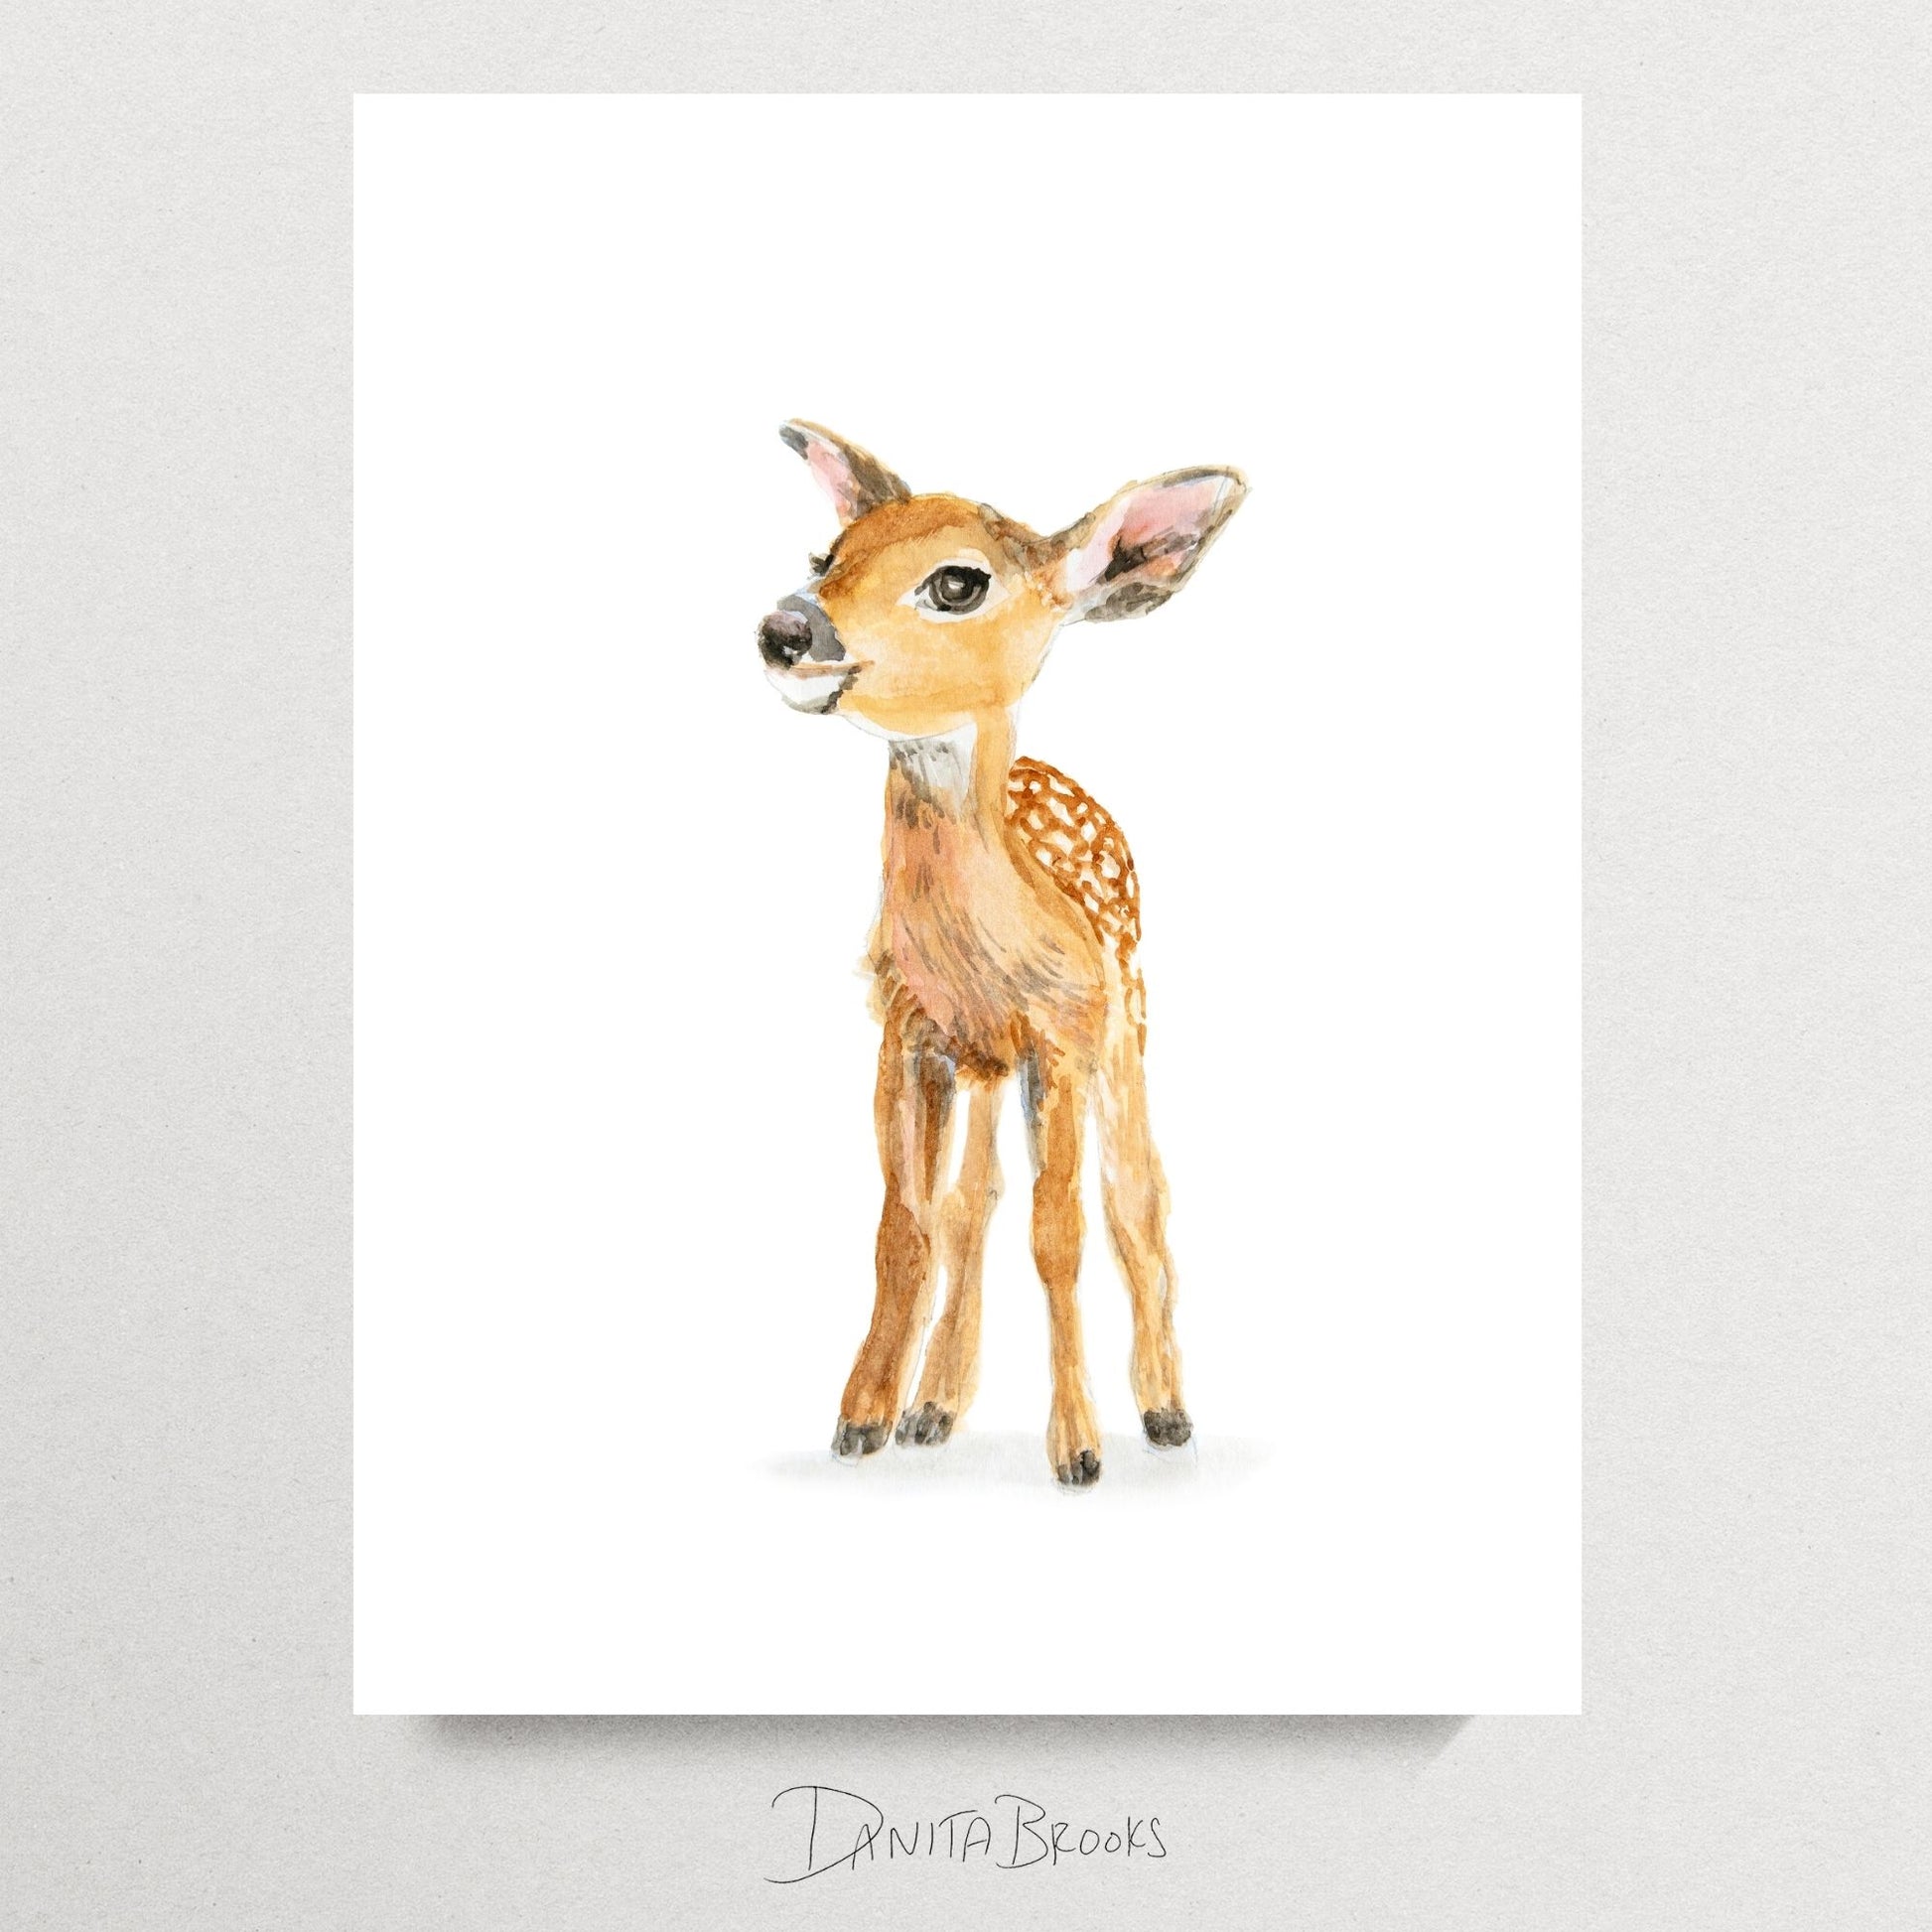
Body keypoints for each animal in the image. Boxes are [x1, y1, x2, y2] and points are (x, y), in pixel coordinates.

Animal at [757, 422, 1246, 1487]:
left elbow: (1060, 1232)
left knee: (1137, 1195)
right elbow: (907, 1225)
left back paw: (1165, 1411)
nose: (786, 628)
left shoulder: (1062, 1031)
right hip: (988, 1065)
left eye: (958, 583)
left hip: (1125, 1013)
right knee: (972, 1202)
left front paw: (1079, 1450)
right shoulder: (906, 1028)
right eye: (826, 555)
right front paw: (861, 1421)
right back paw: (935, 1408)